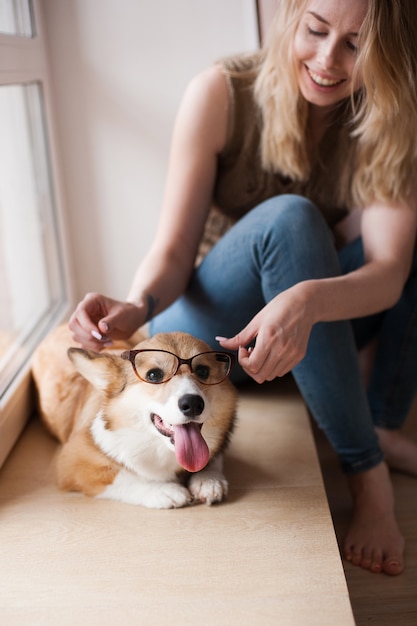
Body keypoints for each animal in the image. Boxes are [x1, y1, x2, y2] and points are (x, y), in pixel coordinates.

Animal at [30, 324, 236, 510]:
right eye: (153, 375)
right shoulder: (71, 461)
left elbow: (214, 456)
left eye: (203, 371)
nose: (193, 404)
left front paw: (209, 479)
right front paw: (163, 490)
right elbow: (120, 476)